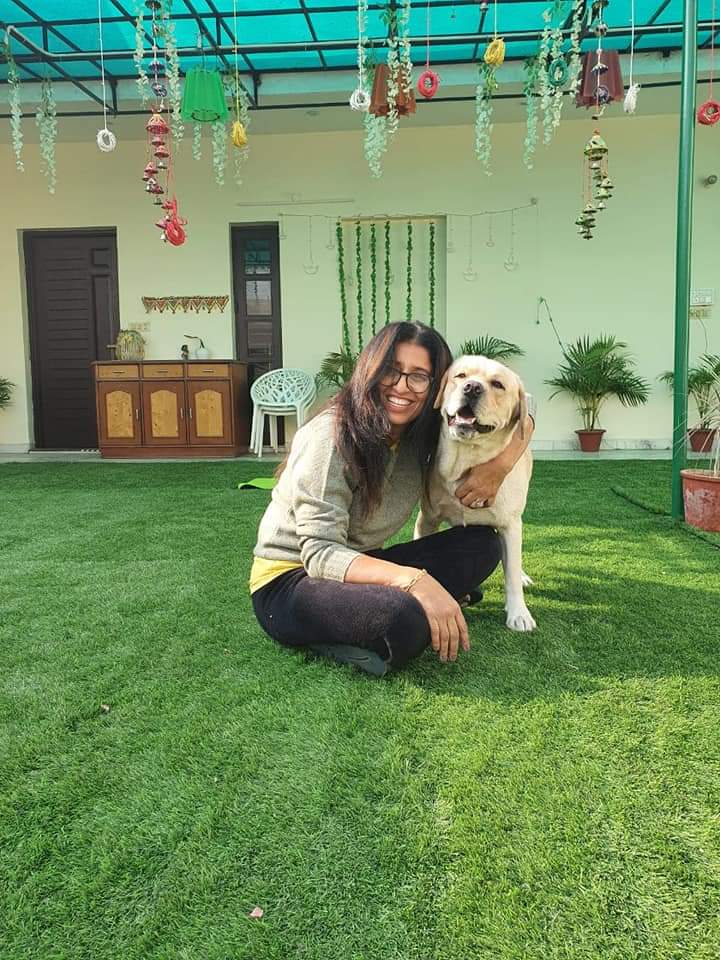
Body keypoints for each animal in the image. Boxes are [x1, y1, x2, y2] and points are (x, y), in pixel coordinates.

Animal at [414, 355, 536, 632]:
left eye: (498, 384)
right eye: (460, 376)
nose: (471, 388)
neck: (466, 458)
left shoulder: (510, 524)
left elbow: (512, 572)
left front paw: (519, 613)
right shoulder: (427, 518)